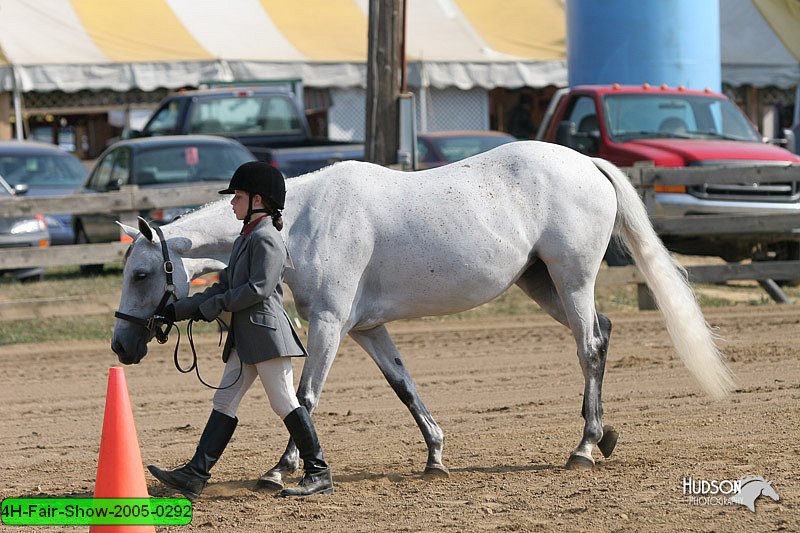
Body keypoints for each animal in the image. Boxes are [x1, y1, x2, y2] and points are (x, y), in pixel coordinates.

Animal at [111, 139, 732, 480]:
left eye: (141, 273)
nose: (122, 345)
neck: (300, 220)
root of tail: (587, 163)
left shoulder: (329, 323)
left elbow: (306, 397)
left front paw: (284, 469)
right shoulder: (367, 327)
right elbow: (404, 386)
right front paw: (435, 455)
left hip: (571, 278)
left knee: (590, 346)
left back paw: (583, 447)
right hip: (542, 283)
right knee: (601, 332)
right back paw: (602, 436)